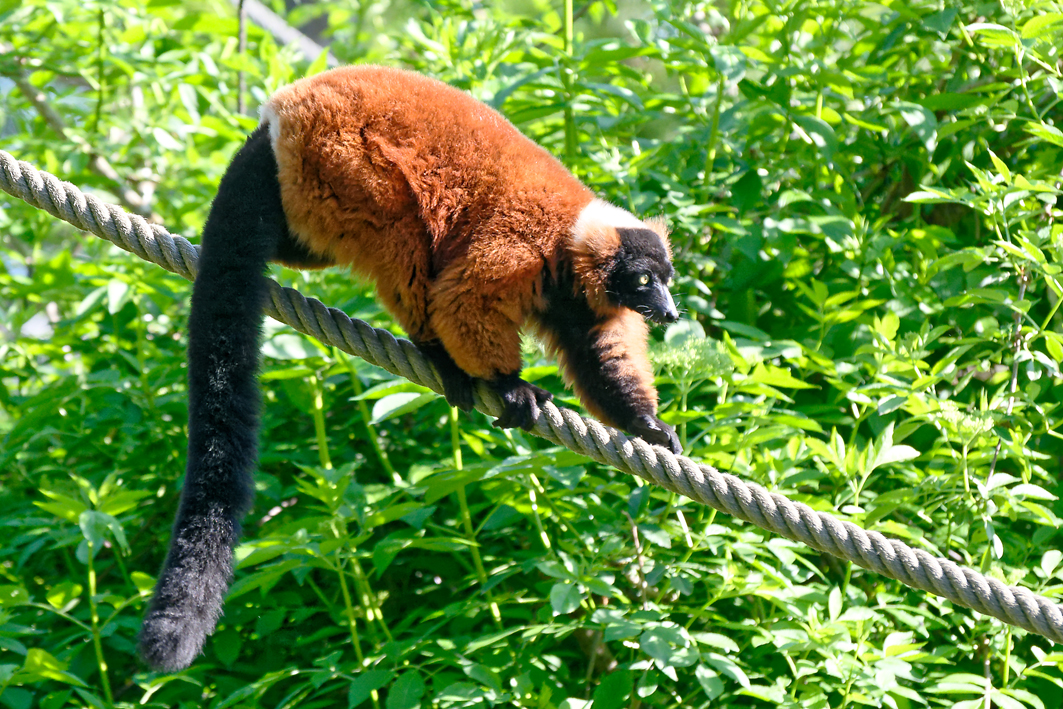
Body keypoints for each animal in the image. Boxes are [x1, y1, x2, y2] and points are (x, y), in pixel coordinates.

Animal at [139, 65, 681, 671]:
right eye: (644, 280)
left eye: (664, 280)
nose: (669, 311)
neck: (568, 247)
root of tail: (283, 113)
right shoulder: (521, 248)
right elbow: (466, 298)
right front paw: (509, 386)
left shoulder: (579, 298)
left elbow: (600, 355)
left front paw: (646, 427)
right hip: (341, 159)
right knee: (401, 231)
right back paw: (440, 354)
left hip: (308, 182)